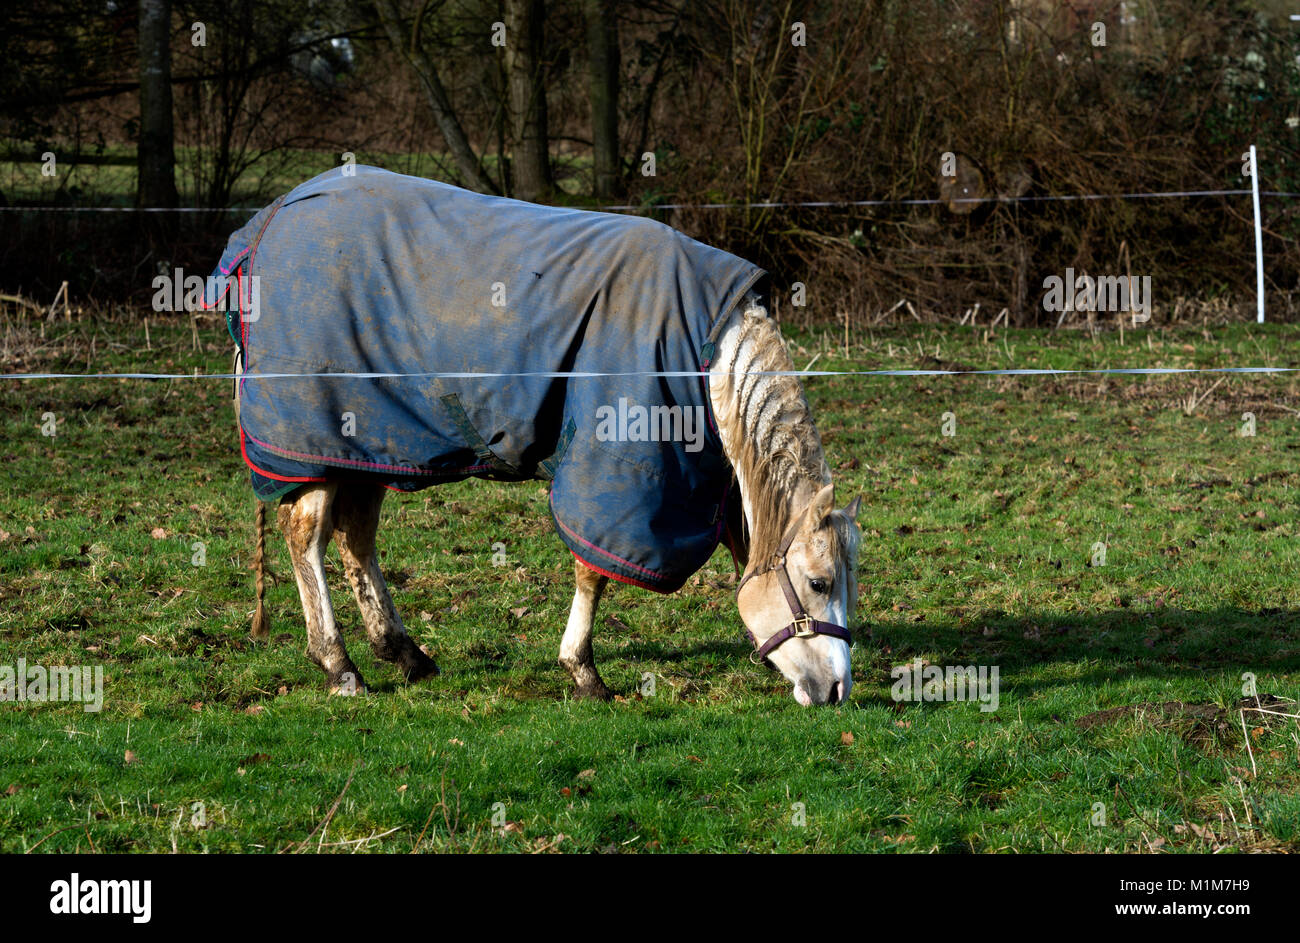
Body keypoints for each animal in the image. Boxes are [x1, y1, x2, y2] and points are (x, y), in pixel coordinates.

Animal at [210, 165, 863, 702]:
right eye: (819, 580)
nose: (837, 690)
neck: (706, 354)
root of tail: (268, 222)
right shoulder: (613, 469)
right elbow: (593, 572)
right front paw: (583, 670)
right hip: (311, 442)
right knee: (307, 538)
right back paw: (338, 664)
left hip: (369, 441)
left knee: (355, 540)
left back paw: (404, 653)